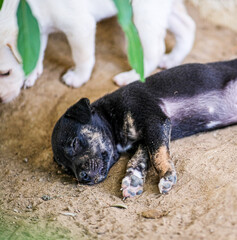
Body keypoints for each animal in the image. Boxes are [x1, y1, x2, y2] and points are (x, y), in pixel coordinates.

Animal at [0, 0, 194, 102]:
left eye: (6, 73)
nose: (1, 100)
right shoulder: (36, 33)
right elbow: (36, 54)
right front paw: (32, 74)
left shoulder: (79, 27)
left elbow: (82, 57)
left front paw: (77, 78)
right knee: (188, 27)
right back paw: (172, 59)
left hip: (144, 14)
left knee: (155, 50)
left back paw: (130, 77)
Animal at [51, 59, 237, 199]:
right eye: (66, 169)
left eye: (75, 143)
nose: (82, 178)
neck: (111, 114)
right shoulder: (144, 139)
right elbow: (139, 159)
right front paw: (133, 180)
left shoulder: (155, 120)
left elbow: (157, 155)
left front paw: (167, 175)